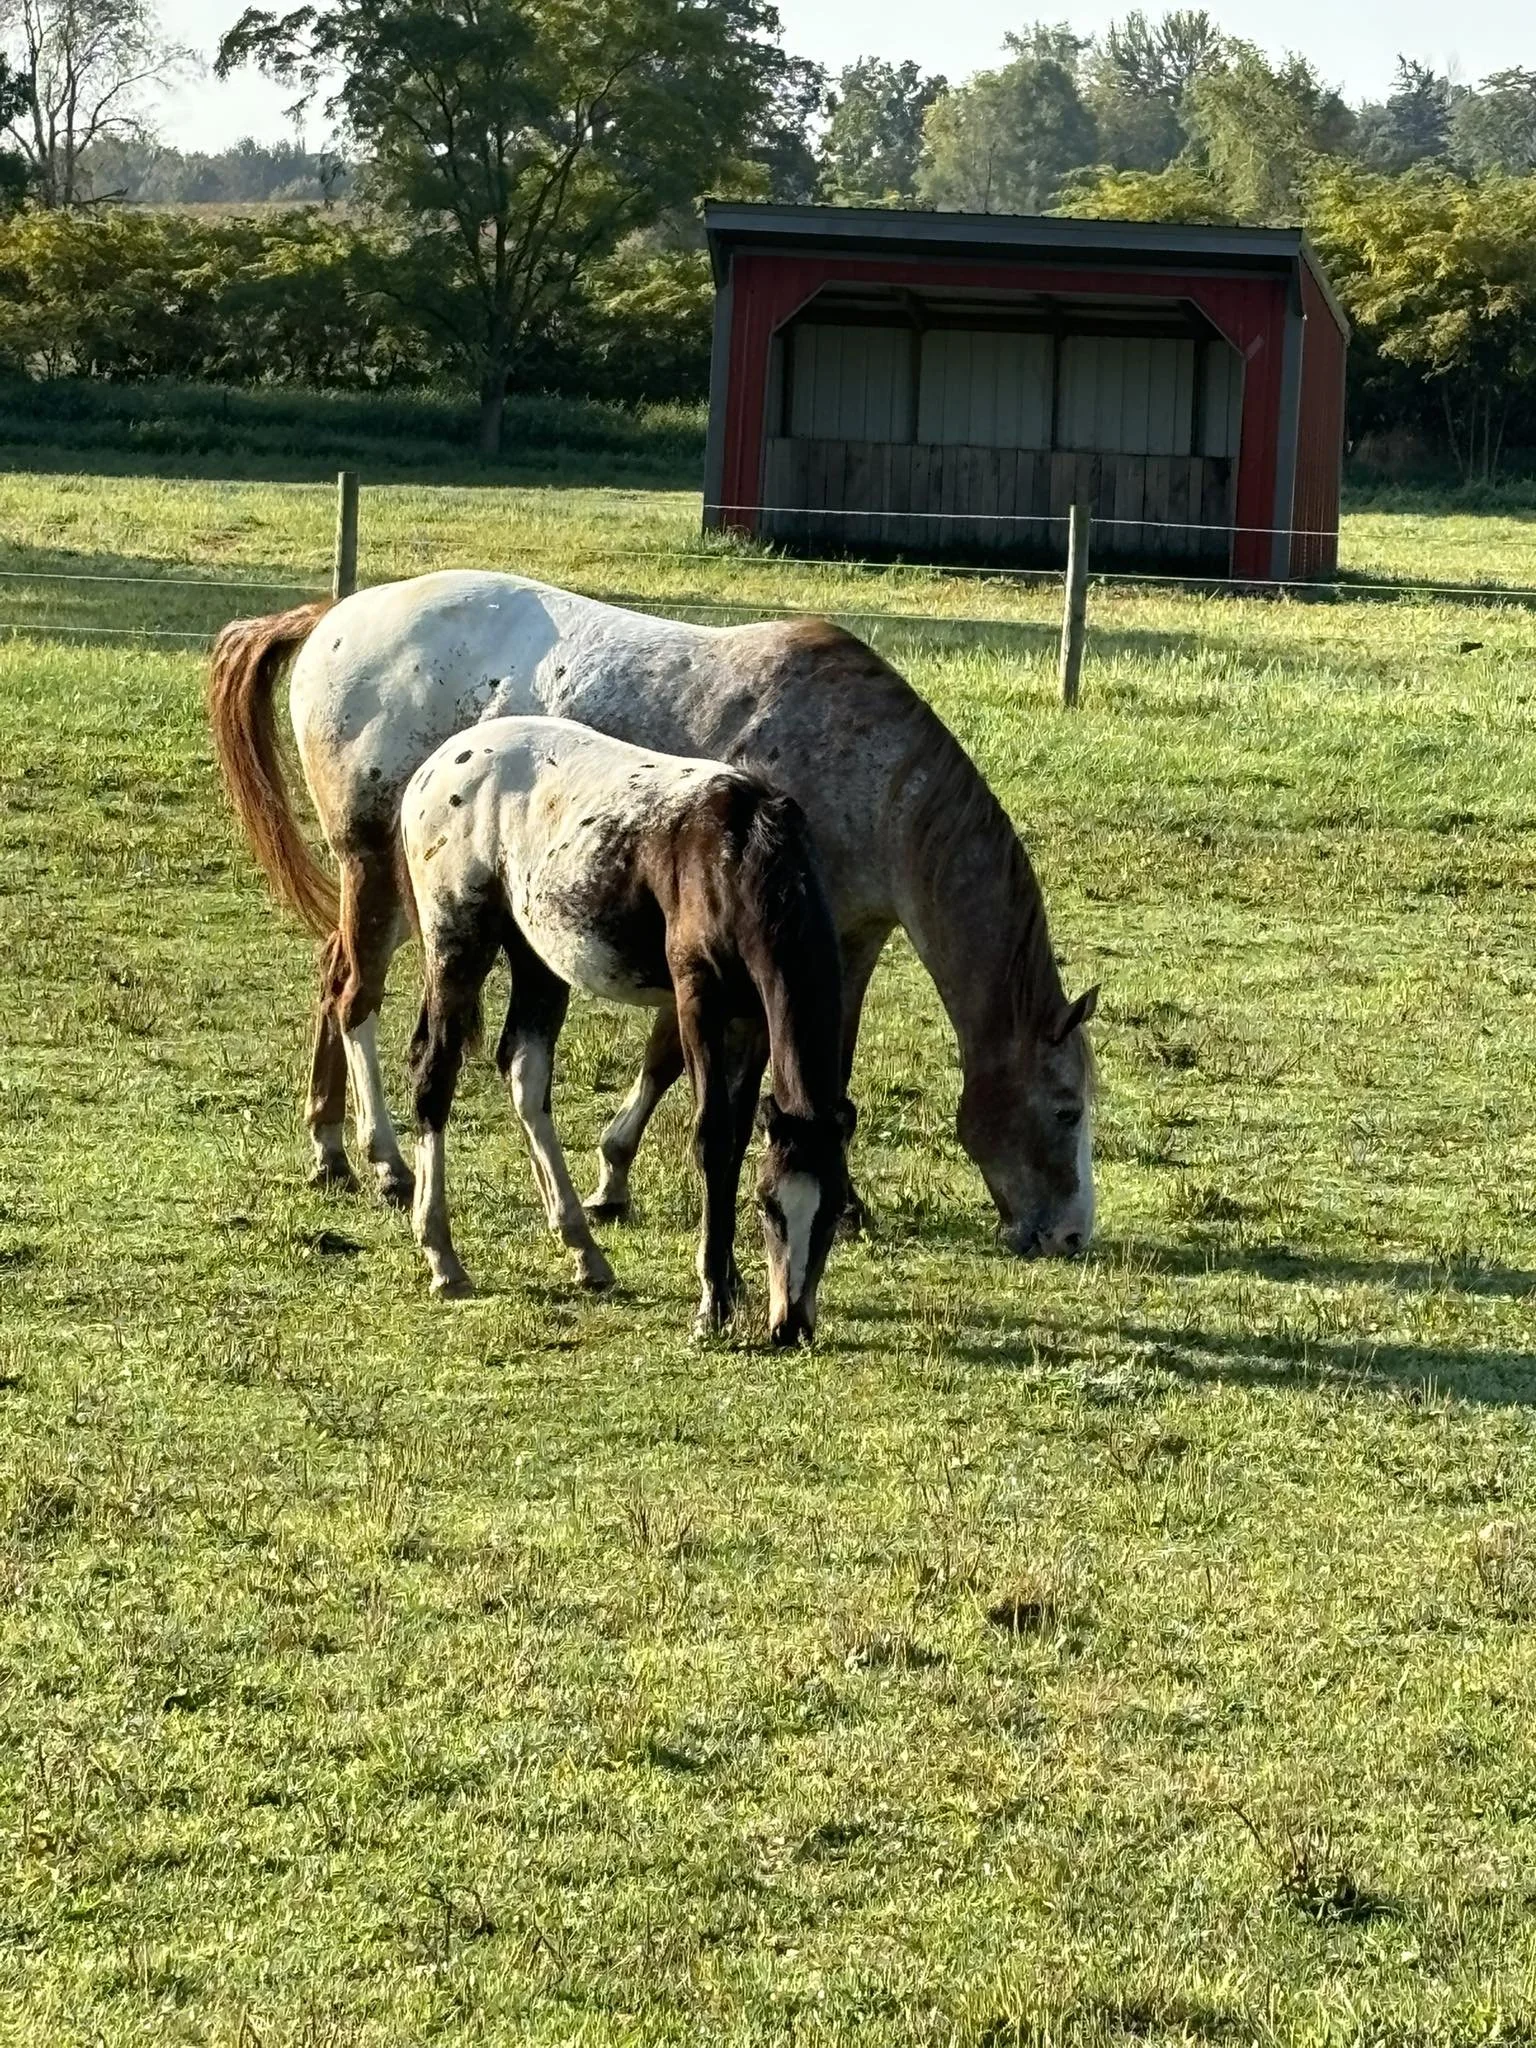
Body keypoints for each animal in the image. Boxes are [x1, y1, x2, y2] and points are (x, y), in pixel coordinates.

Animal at [208, 570, 1097, 1256]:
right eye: (1067, 1108)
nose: (1072, 1235)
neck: (871, 776)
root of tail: (334, 616)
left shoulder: (842, 945)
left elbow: (802, 1069)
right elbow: (679, 1061)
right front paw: (614, 1178)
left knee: (334, 974)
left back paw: (329, 1147)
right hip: (379, 873)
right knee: (356, 997)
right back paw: (386, 1162)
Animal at [400, 716, 852, 1345]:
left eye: (834, 1209)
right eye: (769, 1206)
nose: (790, 1326)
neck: (739, 856)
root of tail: (436, 765)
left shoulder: (753, 1019)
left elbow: (738, 1136)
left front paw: (729, 1280)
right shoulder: (698, 1000)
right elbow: (712, 1136)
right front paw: (712, 1302)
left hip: (537, 956)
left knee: (524, 1073)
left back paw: (585, 1252)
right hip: (456, 943)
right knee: (434, 1076)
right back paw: (444, 1258)